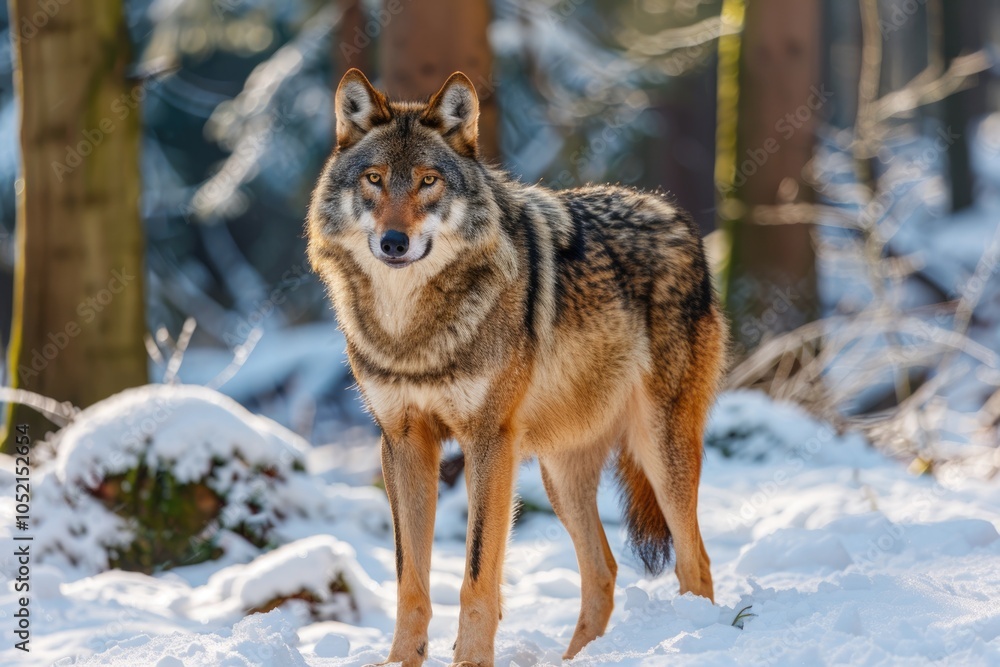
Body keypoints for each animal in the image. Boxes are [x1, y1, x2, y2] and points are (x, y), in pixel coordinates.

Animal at [307, 69, 726, 667]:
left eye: (429, 181)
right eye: (374, 179)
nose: (393, 241)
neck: (413, 331)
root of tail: (674, 215)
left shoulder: (489, 442)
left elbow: (477, 576)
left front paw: (470, 660)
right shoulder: (402, 442)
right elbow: (410, 579)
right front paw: (400, 660)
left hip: (659, 448)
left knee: (696, 564)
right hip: (559, 475)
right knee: (604, 572)